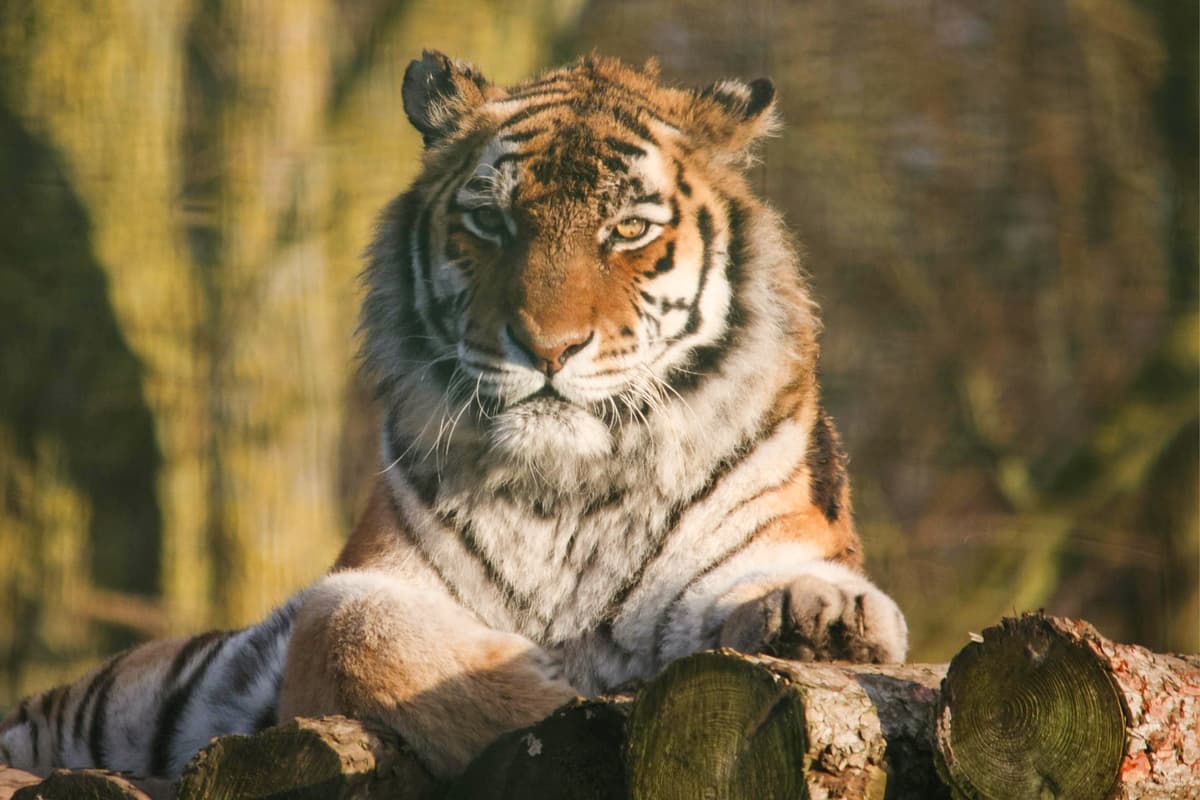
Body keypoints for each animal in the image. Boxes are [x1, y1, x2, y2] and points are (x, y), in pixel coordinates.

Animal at [0, 51, 907, 780]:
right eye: (489, 220)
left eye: (627, 229)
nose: (549, 348)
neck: (571, 489)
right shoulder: (365, 584)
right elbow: (369, 636)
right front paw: (556, 695)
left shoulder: (764, 542)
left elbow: (794, 587)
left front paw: (825, 626)